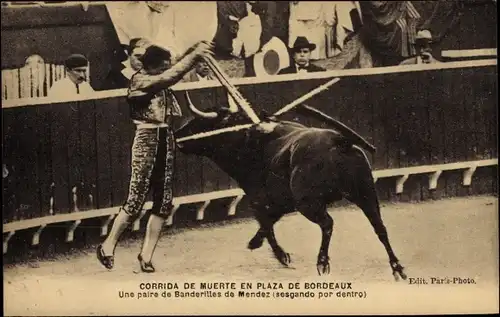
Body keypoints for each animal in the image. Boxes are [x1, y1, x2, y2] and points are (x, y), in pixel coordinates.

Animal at [175, 99, 406, 278]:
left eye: (200, 122)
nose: (177, 134)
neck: (245, 140)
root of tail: (339, 140)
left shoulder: (260, 198)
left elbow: (266, 224)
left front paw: (280, 255)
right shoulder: (280, 202)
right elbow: (268, 223)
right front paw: (257, 243)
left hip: (309, 203)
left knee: (328, 223)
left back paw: (322, 261)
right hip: (366, 193)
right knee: (380, 228)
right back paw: (397, 267)